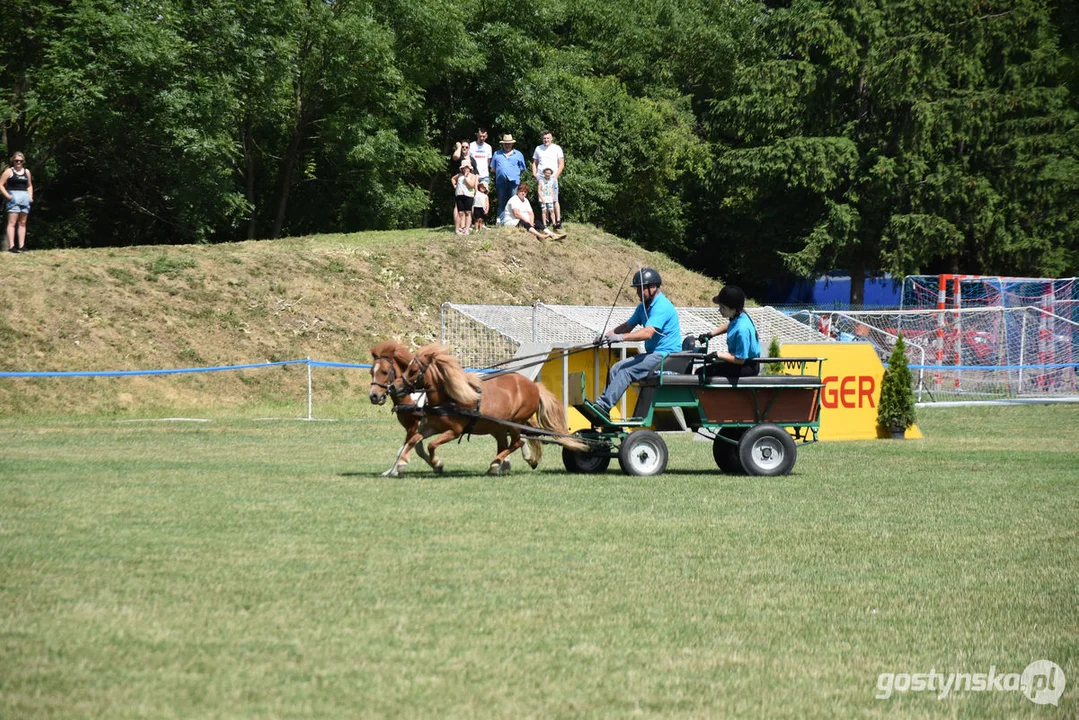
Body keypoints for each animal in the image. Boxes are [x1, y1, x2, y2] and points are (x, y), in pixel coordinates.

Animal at [369, 338, 435, 474]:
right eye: (371, 372)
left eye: (384, 372)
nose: (373, 396)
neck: (411, 398)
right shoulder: (413, 428)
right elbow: (416, 449)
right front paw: (437, 464)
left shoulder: (414, 427)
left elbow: (403, 448)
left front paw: (395, 470)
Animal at [390, 345, 586, 474]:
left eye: (413, 371)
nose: (393, 387)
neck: (449, 398)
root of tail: (534, 386)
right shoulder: (432, 426)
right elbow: (414, 440)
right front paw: (400, 464)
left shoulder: (453, 431)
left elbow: (431, 445)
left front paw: (437, 463)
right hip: (500, 426)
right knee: (507, 444)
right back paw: (501, 465)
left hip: (515, 422)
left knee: (516, 443)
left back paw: (495, 464)